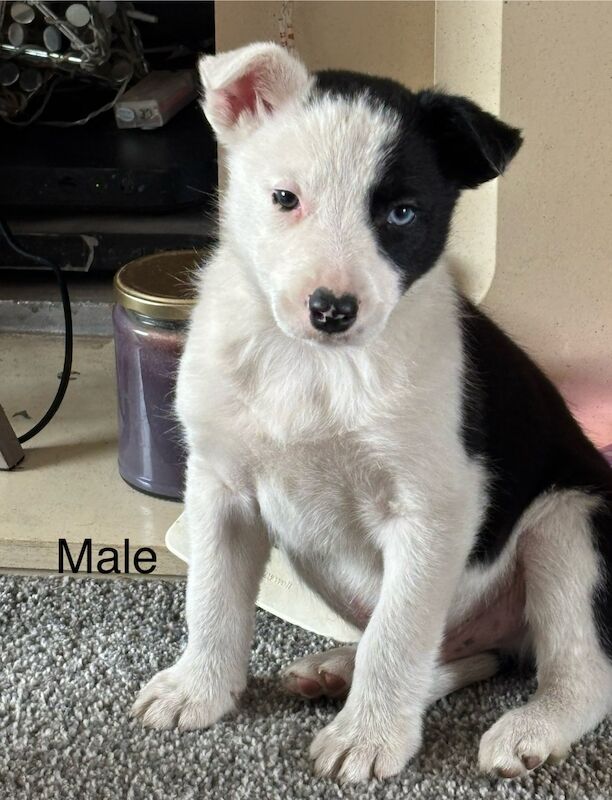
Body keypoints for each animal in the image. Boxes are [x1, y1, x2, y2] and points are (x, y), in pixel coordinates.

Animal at [133, 42, 612, 780]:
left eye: (403, 214)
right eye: (285, 198)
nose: (332, 309)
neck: (312, 366)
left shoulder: (434, 510)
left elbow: (398, 633)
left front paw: (368, 736)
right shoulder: (220, 490)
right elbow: (211, 598)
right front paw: (198, 689)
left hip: (568, 528)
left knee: (581, 673)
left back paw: (530, 726)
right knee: (457, 653)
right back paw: (338, 666)